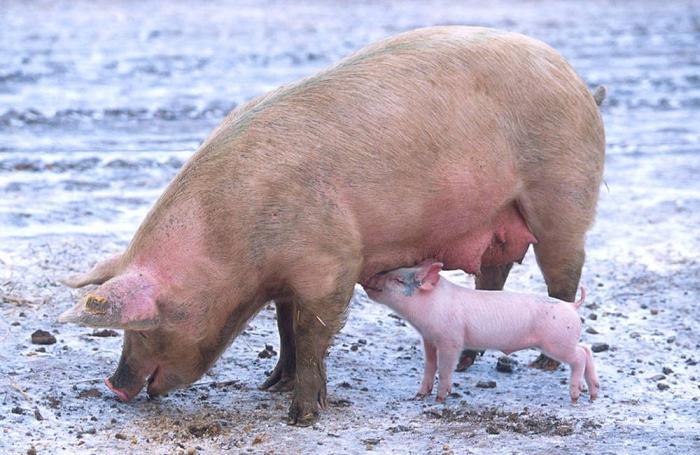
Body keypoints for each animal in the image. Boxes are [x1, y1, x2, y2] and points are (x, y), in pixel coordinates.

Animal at [363, 261, 600, 402]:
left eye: (398, 280)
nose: (368, 279)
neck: (430, 305)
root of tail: (572, 306)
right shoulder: (428, 338)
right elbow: (429, 366)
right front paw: (419, 395)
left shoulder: (451, 340)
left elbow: (445, 368)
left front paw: (440, 399)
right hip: (565, 341)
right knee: (586, 349)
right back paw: (593, 393)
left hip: (557, 342)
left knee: (579, 356)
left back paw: (576, 395)